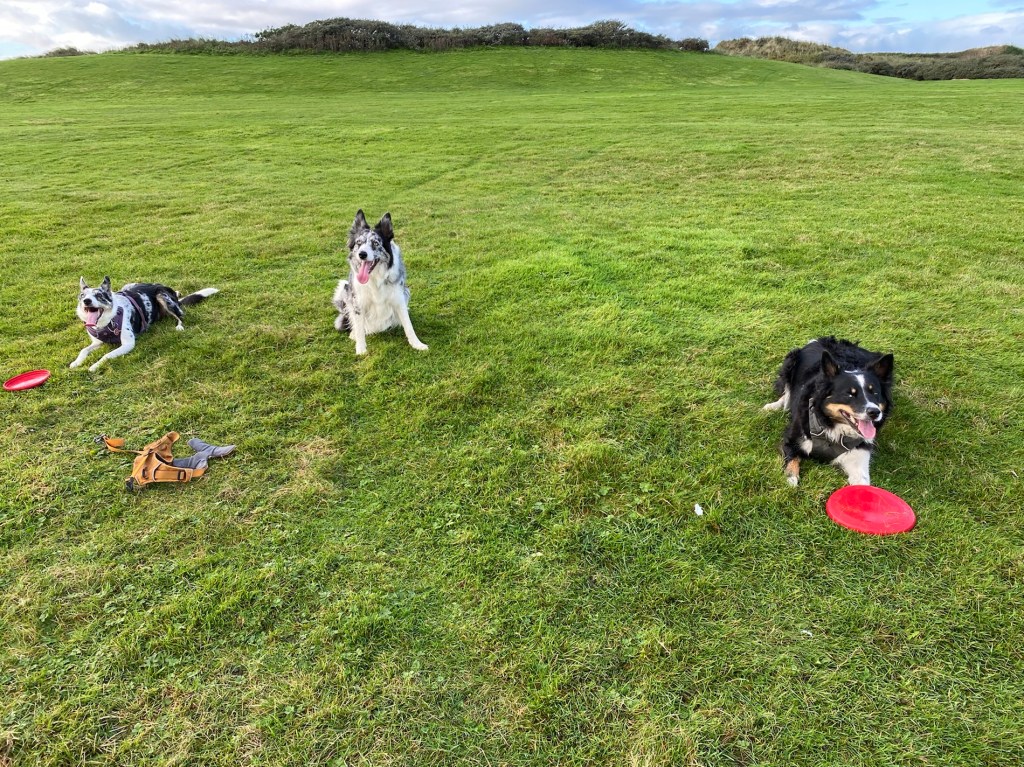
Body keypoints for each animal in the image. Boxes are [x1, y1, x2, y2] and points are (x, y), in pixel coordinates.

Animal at [70, 277, 218, 371]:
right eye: (82, 296)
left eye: (99, 296)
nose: (87, 301)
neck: (106, 322)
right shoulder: (97, 342)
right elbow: (83, 350)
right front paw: (76, 362)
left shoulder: (128, 344)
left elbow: (106, 355)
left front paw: (95, 365)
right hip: (129, 285)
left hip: (163, 296)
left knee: (180, 315)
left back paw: (179, 326)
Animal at [332, 210, 428, 356]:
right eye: (358, 243)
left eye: (376, 243)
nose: (362, 254)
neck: (375, 277)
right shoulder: (358, 302)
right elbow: (360, 329)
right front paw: (361, 349)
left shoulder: (399, 299)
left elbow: (408, 326)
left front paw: (417, 344)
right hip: (345, 290)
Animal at [764, 336, 894, 487]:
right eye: (850, 394)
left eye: (875, 393)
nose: (875, 412)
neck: (831, 425)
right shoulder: (792, 440)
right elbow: (792, 461)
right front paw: (791, 481)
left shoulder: (859, 457)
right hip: (790, 362)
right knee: (786, 394)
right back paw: (772, 406)